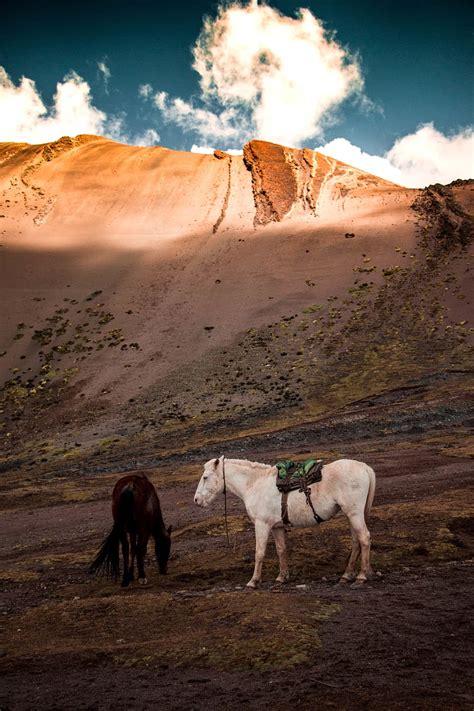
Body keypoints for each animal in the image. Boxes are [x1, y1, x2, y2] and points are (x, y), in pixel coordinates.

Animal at [194, 456, 376, 588]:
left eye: (205, 477)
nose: (196, 500)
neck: (254, 484)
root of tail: (364, 467)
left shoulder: (262, 525)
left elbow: (259, 552)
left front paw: (253, 581)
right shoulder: (277, 527)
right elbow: (281, 550)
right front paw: (282, 577)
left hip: (354, 514)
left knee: (364, 539)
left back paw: (361, 576)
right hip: (351, 515)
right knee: (356, 542)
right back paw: (347, 575)